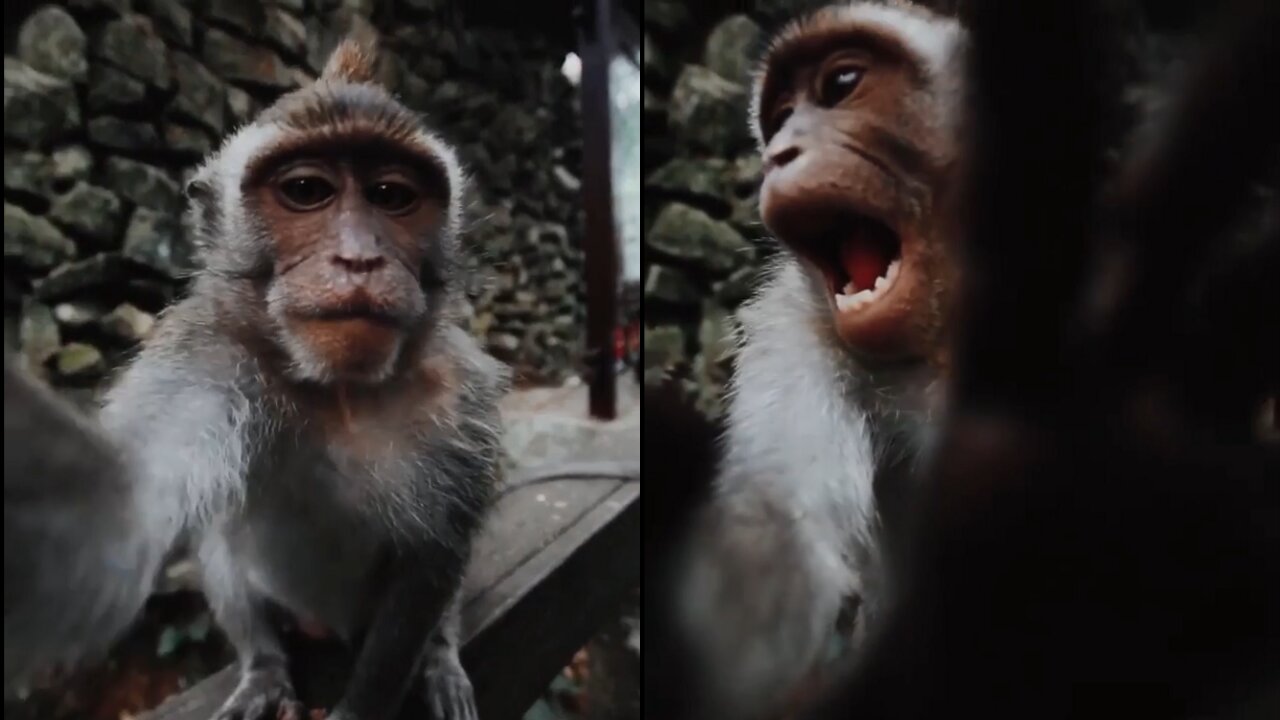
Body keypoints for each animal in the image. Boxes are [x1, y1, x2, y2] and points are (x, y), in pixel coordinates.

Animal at [11, 40, 509, 717]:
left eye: (391, 195)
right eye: (306, 190)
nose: (359, 258)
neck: (340, 389)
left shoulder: (462, 399)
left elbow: (432, 563)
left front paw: (368, 701)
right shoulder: (201, 359)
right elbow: (122, 518)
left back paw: (439, 657)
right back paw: (266, 668)